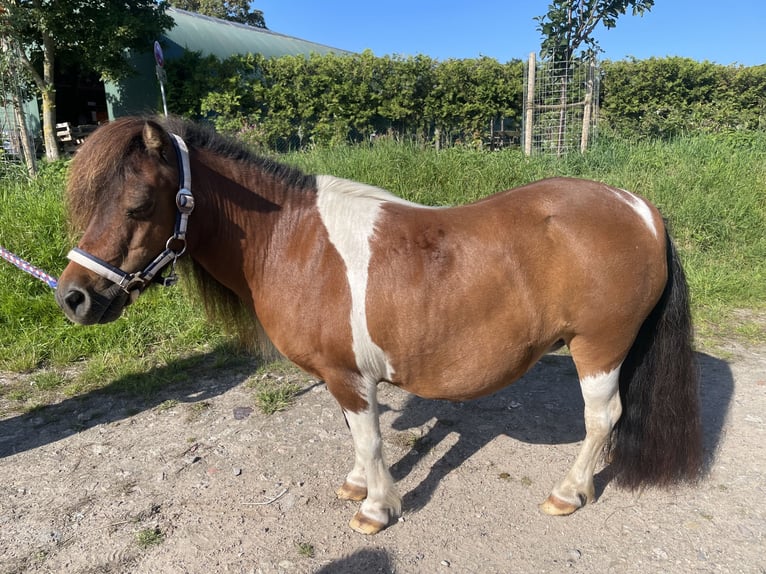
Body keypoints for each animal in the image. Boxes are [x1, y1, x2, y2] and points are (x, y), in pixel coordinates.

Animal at [54, 116, 704, 536]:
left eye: (138, 205)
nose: (74, 298)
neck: (293, 241)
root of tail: (642, 210)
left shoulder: (346, 374)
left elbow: (368, 438)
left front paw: (375, 509)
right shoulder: (343, 377)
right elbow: (355, 435)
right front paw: (359, 484)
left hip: (600, 347)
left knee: (603, 418)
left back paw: (568, 493)